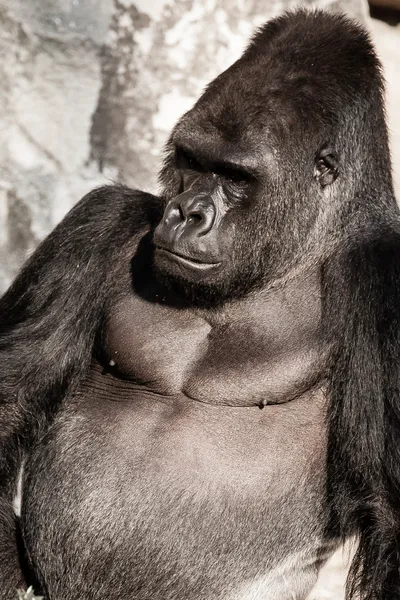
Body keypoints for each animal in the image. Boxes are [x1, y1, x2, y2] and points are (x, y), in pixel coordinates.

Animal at [0, 8, 400, 600]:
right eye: (190, 159)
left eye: (235, 176)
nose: (185, 212)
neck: (304, 248)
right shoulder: (102, 221)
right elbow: (14, 391)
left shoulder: (386, 285)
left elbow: (393, 513)